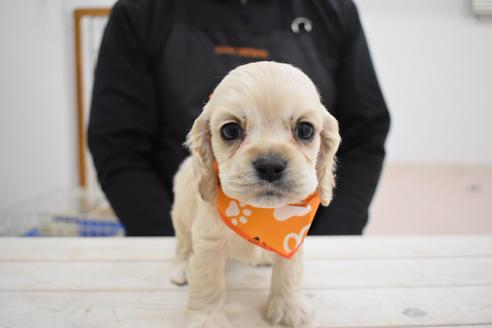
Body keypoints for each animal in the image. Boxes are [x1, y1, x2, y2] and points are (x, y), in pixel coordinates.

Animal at [171, 60, 340, 326]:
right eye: (230, 131)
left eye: (305, 130)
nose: (270, 165)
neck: (261, 215)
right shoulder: (207, 239)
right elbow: (207, 281)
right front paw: (207, 318)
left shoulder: (294, 241)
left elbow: (289, 273)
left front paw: (288, 307)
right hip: (181, 216)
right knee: (183, 246)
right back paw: (181, 268)